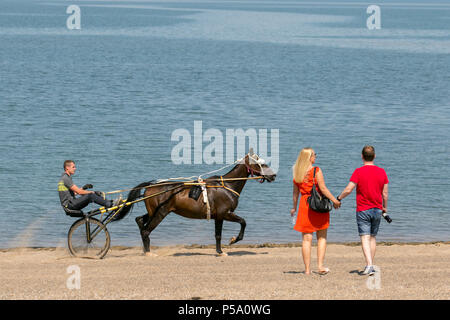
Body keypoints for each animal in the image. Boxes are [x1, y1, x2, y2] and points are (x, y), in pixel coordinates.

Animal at [112, 152, 276, 255]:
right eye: (261, 164)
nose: (273, 175)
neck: (227, 186)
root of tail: (150, 186)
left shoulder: (219, 216)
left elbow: (221, 233)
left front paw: (222, 248)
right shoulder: (223, 214)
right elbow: (240, 223)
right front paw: (229, 244)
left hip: (154, 211)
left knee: (140, 220)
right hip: (160, 212)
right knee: (146, 230)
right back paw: (148, 252)